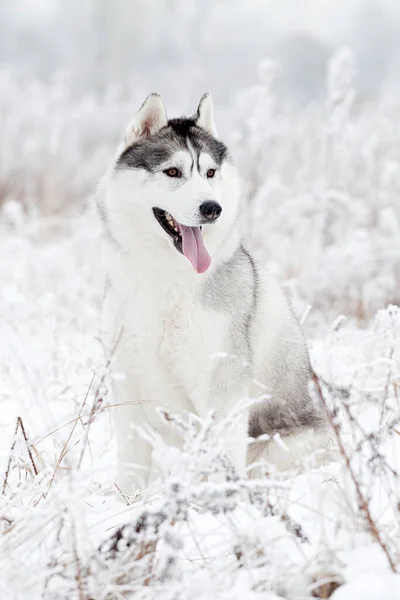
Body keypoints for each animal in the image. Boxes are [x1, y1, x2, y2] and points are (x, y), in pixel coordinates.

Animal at [97, 92, 328, 492]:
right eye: (173, 172)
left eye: (209, 173)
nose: (212, 208)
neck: (167, 279)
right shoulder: (127, 388)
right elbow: (130, 472)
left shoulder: (221, 389)